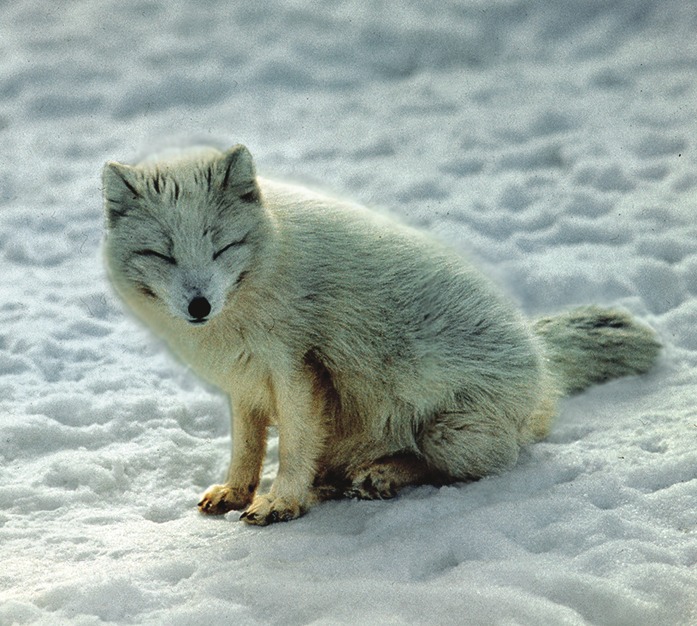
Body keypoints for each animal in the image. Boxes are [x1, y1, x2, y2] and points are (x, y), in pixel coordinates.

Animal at [100, 144, 660, 524]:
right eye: (162, 254)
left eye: (222, 247)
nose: (199, 305)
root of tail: (543, 364)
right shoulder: (246, 383)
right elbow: (246, 448)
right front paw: (238, 493)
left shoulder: (298, 368)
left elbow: (295, 446)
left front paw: (282, 501)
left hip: (447, 432)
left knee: (471, 463)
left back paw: (380, 474)